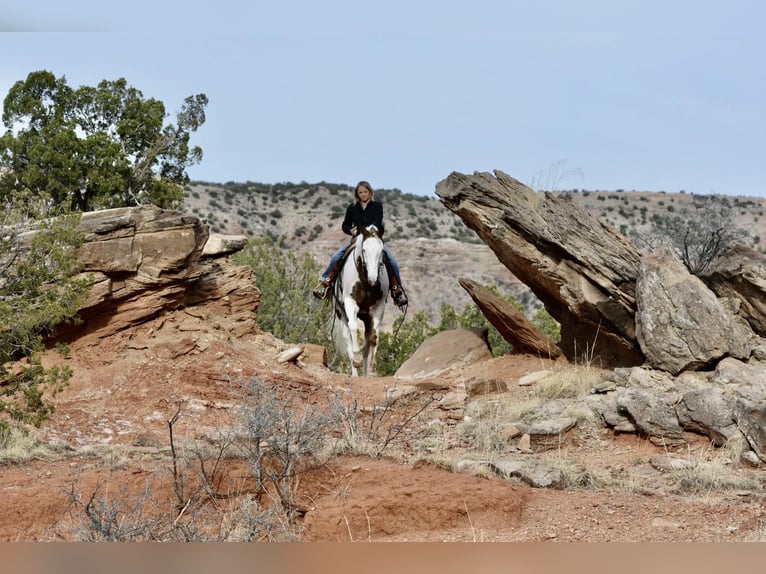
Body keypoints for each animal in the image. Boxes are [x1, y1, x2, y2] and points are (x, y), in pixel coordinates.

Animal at [332, 225, 390, 378]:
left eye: (381, 251)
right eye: (364, 250)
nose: (373, 278)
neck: (365, 282)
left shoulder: (378, 307)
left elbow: (374, 336)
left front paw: (373, 367)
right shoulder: (350, 302)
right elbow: (353, 327)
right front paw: (356, 356)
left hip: (366, 317)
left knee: (367, 344)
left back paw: (365, 374)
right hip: (341, 313)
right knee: (348, 339)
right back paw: (355, 371)